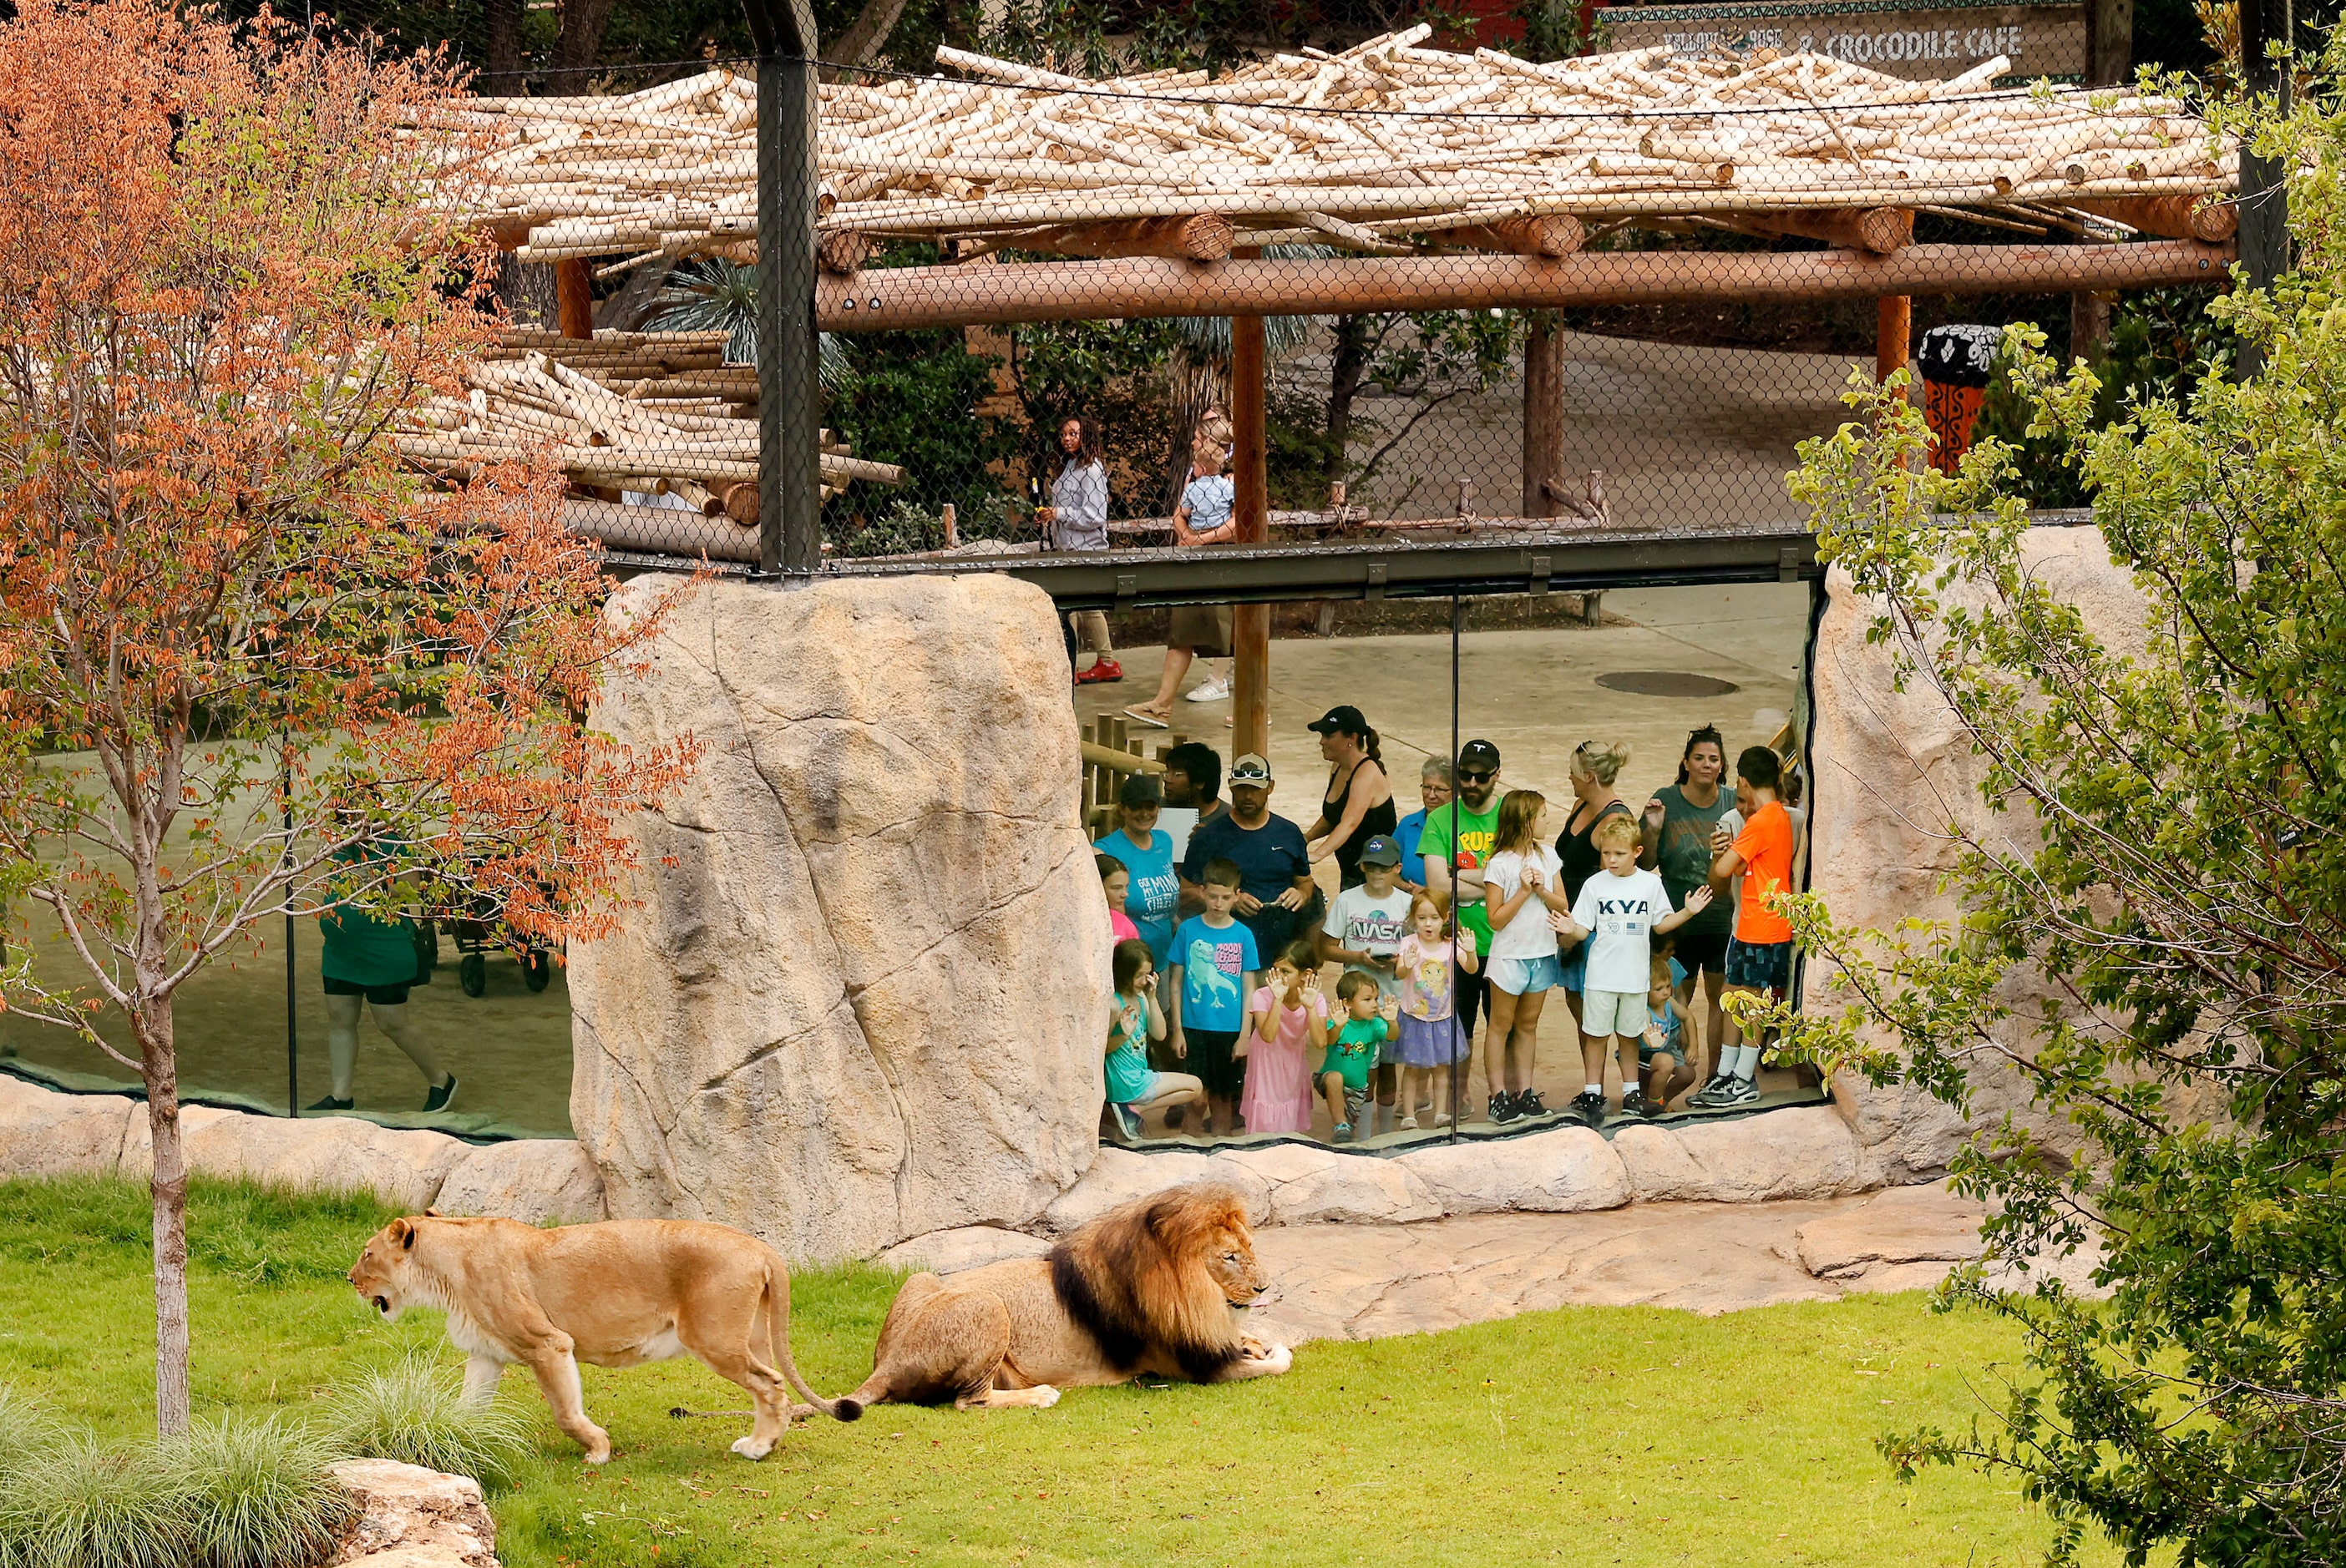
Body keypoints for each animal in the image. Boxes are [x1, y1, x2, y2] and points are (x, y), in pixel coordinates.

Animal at [347, 1218, 863, 1462]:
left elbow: (566, 1413)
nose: (349, 1278)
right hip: (749, 1337)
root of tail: (761, 1247)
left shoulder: (549, 1343)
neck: (445, 1272)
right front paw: (451, 1449)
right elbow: (466, 1408)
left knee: (771, 1385)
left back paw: (758, 1448)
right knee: (770, 1385)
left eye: (367, 1254)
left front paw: (597, 1450)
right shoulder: (486, 1354)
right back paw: (760, 1443)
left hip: (714, 1339)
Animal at [844, 1186, 1295, 1406]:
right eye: (1229, 1257)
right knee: (970, 1401)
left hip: (920, 1278)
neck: (1195, 1295)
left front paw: (1255, 1342)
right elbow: (1276, 1365)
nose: (1265, 1287)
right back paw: (1040, 1395)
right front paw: (1274, 1351)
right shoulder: (1198, 1368)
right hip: (988, 1305)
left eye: (1251, 1246)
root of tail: (887, 1364)